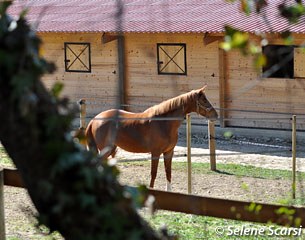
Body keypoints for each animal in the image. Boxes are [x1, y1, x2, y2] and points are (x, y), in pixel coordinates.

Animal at [86, 85, 216, 190]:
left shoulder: (169, 152)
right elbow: (154, 173)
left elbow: (168, 172)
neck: (163, 123)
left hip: (112, 149)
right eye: (204, 100)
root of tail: (94, 119)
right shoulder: (155, 152)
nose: (215, 114)